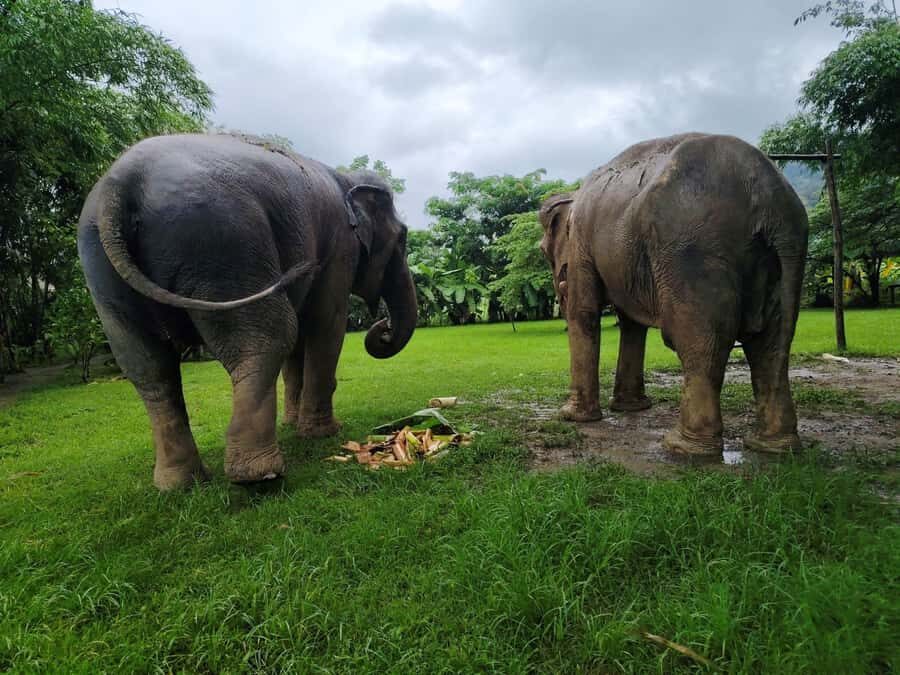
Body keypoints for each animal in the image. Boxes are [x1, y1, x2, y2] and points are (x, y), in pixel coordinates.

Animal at [77, 133, 417, 490]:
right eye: (403, 238)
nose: (383, 328)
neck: (344, 177)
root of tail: (120, 185)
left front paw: (292, 425)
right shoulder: (339, 247)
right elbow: (325, 324)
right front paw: (324, 434)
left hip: (103, 273)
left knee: (147, 365)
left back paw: (181, 484)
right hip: (223, 245)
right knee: (271, 335)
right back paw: (258, 476)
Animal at [539, 133, 808, 456]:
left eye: (543, 252)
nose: (559, 288)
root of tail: (768, 197)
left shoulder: (581, 239)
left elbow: (585, 312)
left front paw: (572, 416)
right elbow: (631, 323)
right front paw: (632, 408)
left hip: (691, 251)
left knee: (701, 343)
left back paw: (683, 446)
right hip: (782, 258)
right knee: (771, 343)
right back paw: (774, 446)